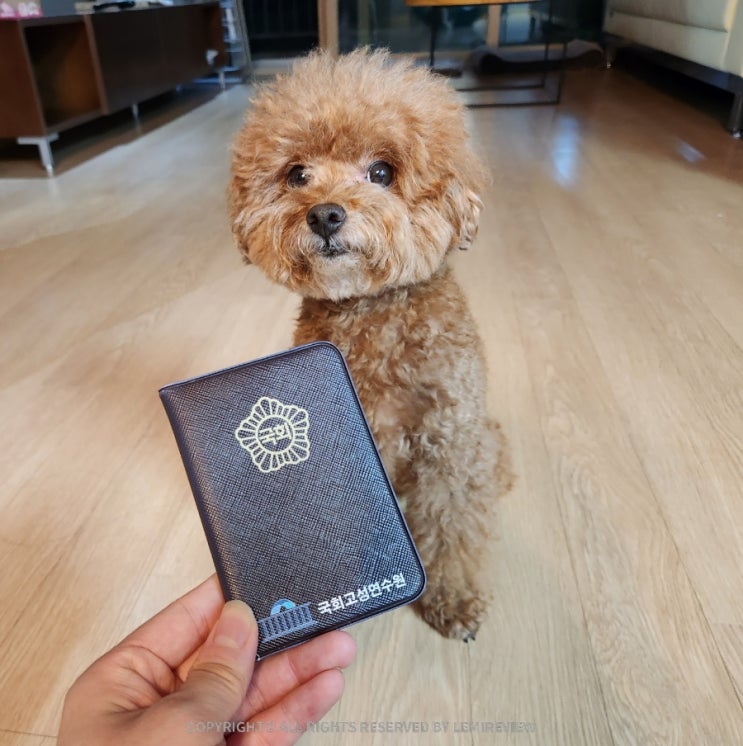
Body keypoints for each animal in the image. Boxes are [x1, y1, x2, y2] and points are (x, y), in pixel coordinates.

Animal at [229, 48, 512, 641]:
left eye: (381, 172)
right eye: (297, 174)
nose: (324, 213)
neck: (371, 311)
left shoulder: (448, 441)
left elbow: (453, 523)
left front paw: (453, 598)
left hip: (480, 436)